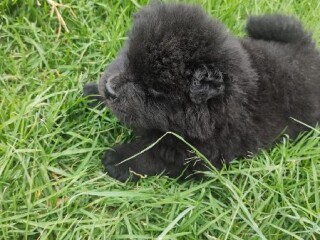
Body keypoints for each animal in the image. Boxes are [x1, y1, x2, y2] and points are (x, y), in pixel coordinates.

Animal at [84, 2, 320, 181]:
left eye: (155, 89)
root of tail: (308, 49)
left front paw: (119, 160)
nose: (110, 89)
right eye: (128, 58)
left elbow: (153, 155)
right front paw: (93, 93)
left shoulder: (194, 152)